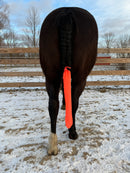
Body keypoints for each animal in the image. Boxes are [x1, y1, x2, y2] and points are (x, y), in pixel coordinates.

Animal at [39, 7, 98, 155]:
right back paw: (72, 132)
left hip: (51, 76)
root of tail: (67, 11)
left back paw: (52, 144)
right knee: (74, 102)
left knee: (52, 105)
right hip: (80, 79)